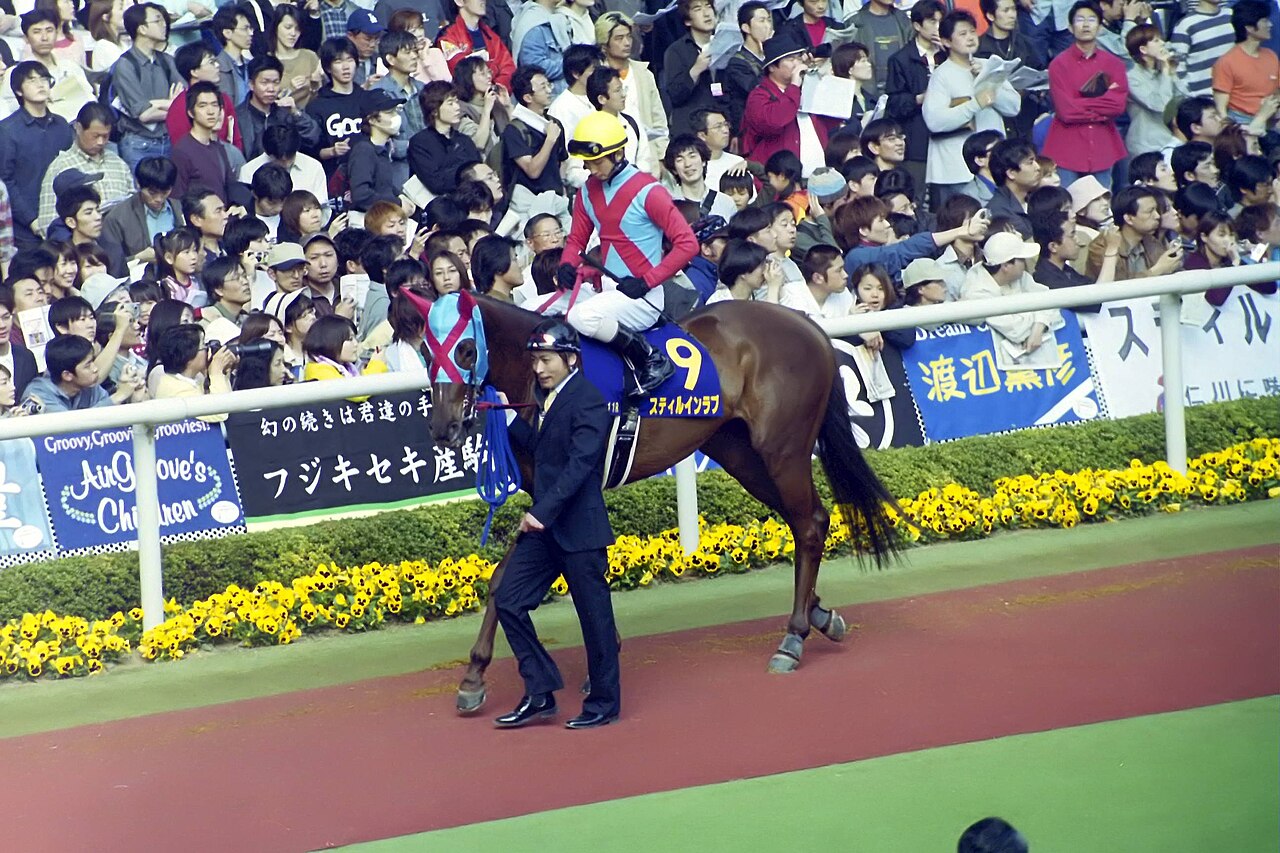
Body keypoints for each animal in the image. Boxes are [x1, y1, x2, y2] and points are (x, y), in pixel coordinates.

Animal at [413, 290, 899, 713]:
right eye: (426, 353)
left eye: (466, 349)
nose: (443, 427)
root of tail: (805, 323)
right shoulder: (547, 498)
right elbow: (502, 579)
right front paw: (473, 677)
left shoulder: (571, 487)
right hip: (740, 453)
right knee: (808, 520)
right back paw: (819, 616)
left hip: (783, 449)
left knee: (809, 524)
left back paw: (793, 639)